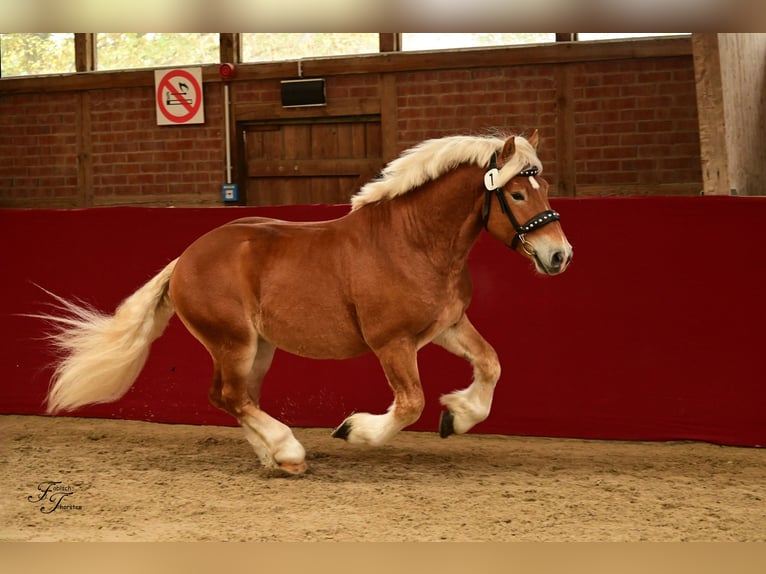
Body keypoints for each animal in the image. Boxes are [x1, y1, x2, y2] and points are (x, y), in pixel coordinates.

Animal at [40, 132, 568, 476]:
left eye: (543, 187)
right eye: (516, 193)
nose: (559, 255)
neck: (413, 243)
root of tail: (184, 260)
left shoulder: (448, 325)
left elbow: (491, 364)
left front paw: (456, 415)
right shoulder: (393, 344)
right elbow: (410, 404)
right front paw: (353, 430)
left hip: (257, 347)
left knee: (235, 397)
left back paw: (275, 458)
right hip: (234, 341)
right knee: (231, 397)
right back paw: (288, 451)